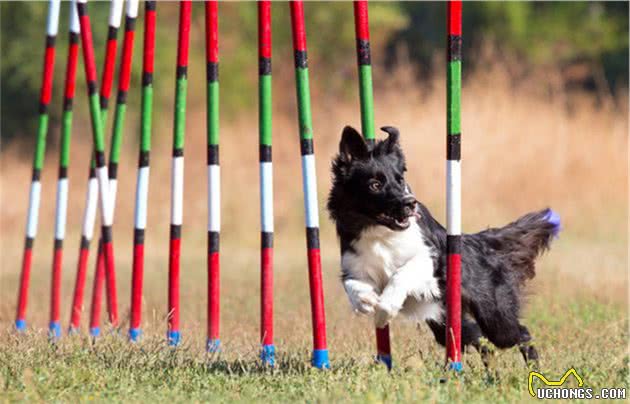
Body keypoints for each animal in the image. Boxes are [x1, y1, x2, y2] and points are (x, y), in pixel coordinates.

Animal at [328, 125, 560, 362]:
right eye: (374, 185)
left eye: (400, 180)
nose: (410, 203)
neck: (380, 233)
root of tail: (480, 244)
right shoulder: (354, 265)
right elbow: (353, 285)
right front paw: (366, 302)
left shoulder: (429, 259)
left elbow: (401, 273)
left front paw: (385, 308)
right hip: (446, 322)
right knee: (480, 340)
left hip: (494, 314)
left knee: (520, 333)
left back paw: (532, 365)